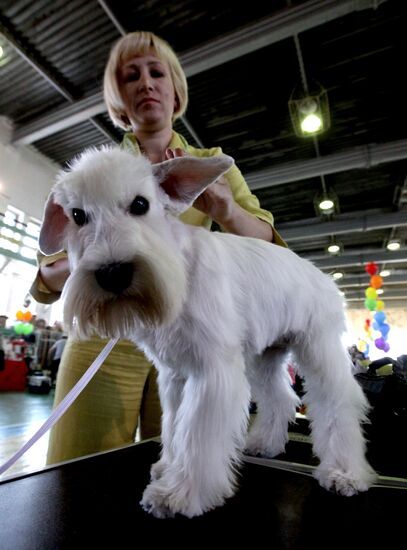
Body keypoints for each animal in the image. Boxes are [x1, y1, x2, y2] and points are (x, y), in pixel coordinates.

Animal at [39, 147, 378, 516]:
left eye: (140, 204)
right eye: (77, 215)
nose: (113, 273)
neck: (178, 269)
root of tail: (320, 274)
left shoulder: (211, 373)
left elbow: (195, 435)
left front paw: (179, 493)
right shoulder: (174, 376)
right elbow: (174, 427)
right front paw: (169, 468)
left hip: (319, 349)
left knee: (337, 403)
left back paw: (344, 472)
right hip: (263, 359)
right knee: (280, 398)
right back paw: (264, 443)